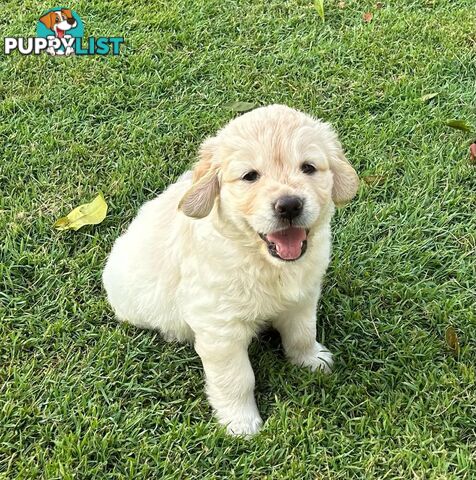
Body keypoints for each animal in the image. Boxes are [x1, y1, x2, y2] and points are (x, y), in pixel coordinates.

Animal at [102, 104, 358, 436]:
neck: (264, 262)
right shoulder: (219, 327)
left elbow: (302, 332)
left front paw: (311, 360)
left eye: (308, 168)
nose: (289, 205)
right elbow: (236, 378)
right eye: (250, 176)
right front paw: (241, 422)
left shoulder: (303, 297)